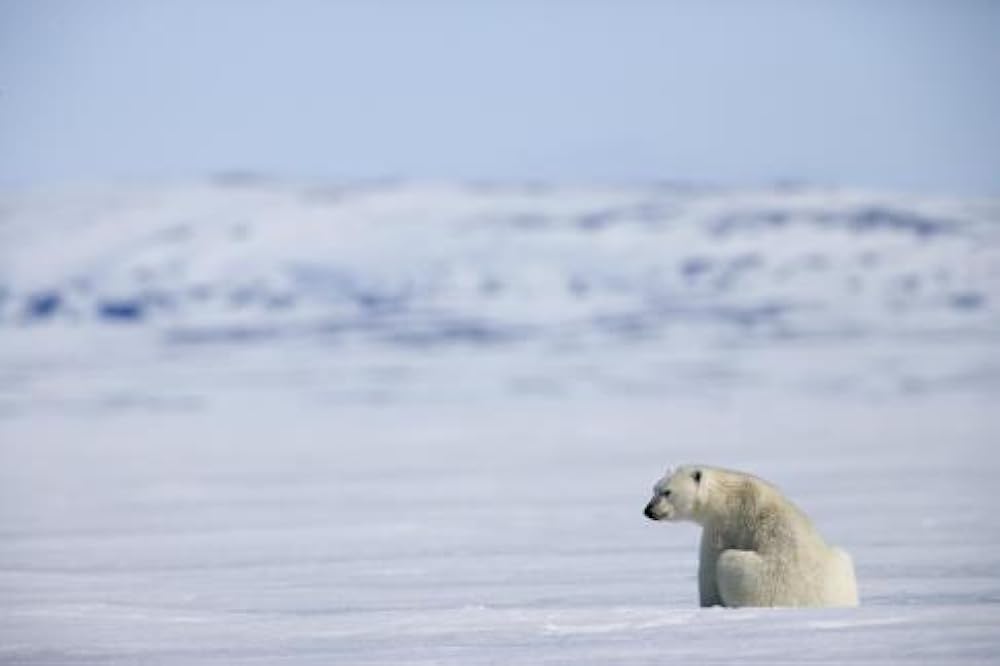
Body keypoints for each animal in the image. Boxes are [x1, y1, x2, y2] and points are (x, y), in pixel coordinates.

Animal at [644, 464, 856, 604]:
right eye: (654, 489)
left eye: (667, 492)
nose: (648, 510)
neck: (726, 495)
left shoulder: (723, 525)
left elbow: (709, 568)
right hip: (841, 565)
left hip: (762, 581)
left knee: (727, 561)